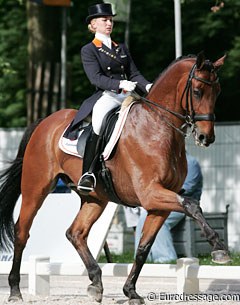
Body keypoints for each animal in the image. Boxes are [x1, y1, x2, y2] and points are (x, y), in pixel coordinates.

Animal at [0, 52, 229, 304]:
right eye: (197, 91)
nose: (206, 137)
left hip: (95, 198)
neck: (157, 127)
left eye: (218, 91)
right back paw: (15, 290)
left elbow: (143, 248)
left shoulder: (160, 204)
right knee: (22, 232)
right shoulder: (150, 194)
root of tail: (44, 122)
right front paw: (219, 248)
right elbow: (192, 204)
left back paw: (96, 282)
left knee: (76, 232)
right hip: (35, 189)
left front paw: (131, 291)